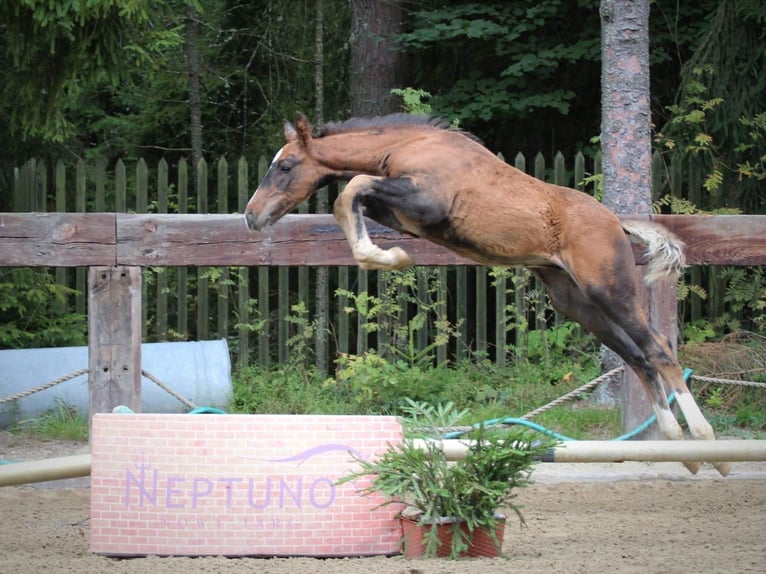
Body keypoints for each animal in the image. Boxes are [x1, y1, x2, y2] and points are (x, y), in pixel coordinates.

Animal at [244, 112, 729, 476]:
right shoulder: (405, 213)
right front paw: (387, 255)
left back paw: (707, 447)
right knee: (639, 357)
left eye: (285, 165)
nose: (251, 216)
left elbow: (351, 188)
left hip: (610, 292)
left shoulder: (425, 203)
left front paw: (391, 257)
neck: (408, 146)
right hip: (578, 305)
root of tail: (616, 222)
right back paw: (678, 447)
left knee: (659, 350)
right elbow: (349, 199)